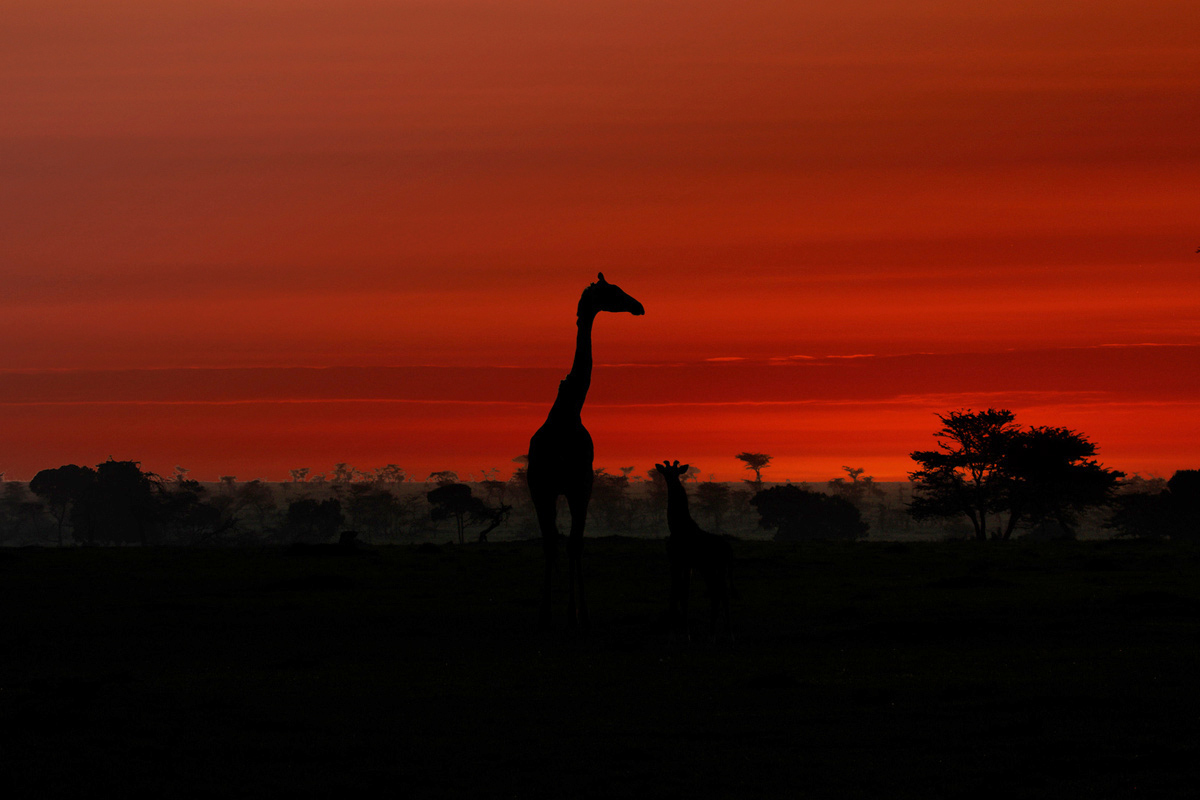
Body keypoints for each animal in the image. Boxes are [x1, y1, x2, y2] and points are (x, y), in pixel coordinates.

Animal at [527, 273, 644, 631]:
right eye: (614, 291)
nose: (639, 306)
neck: (567, 413)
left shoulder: (576, 486)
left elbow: (571, 543)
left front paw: (573, 613)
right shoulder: (549, 488)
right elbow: (555, 543)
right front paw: (552, 614)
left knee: (571, 542)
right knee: (560, 542)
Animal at [654, 460, 734, 640]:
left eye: (675, 471)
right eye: (666, 472)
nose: (671, 481)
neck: (677, 525)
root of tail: (728, 550)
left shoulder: (676, 562)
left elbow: (675, 594)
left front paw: (672, 633)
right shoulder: (688, 565)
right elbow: (685, 594)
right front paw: (686, 633)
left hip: (709, 567)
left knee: (716, 592)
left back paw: (713, 633)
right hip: (719, 568)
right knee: (723, 593)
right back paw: (725, 631)